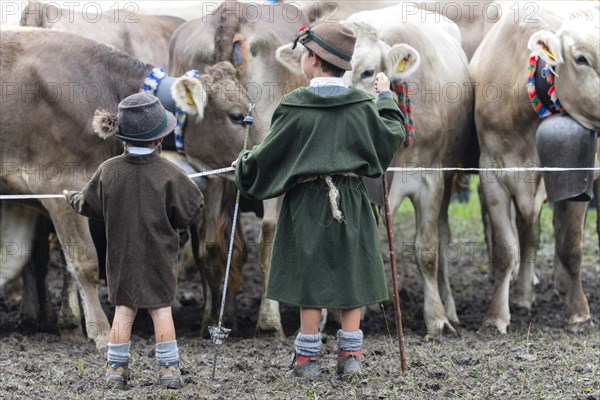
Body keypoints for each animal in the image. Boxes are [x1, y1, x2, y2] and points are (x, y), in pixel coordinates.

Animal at [1, 27, 262, 346]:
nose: (262, 154)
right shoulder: (59, 185)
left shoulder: (20, 199)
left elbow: (10, 260)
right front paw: (101, 332)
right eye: (236, 116)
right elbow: (85, 262)